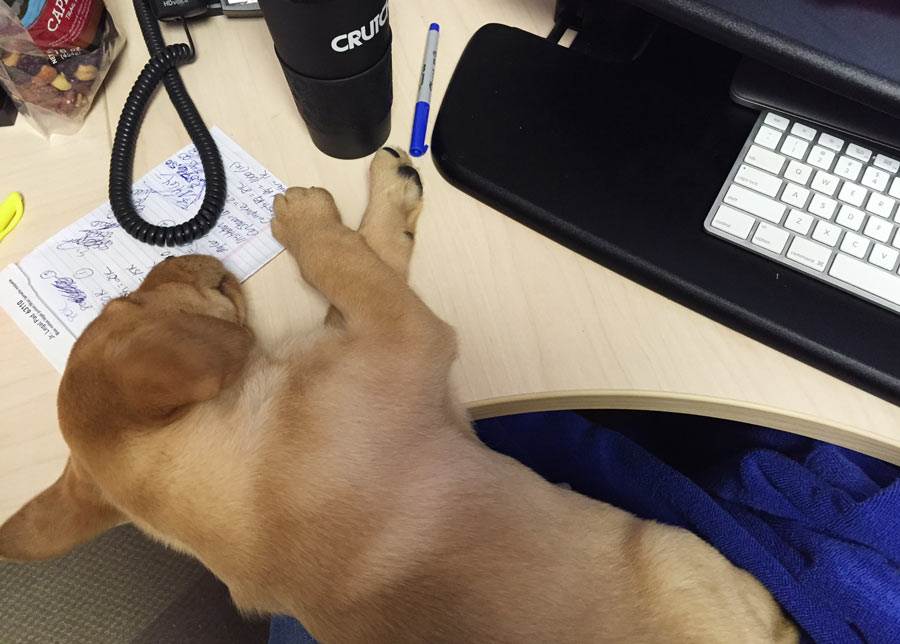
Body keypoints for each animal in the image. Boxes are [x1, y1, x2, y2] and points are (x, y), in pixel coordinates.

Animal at [0, 150, 796, 644]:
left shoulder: (367, 327)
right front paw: (312, 217)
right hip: (678, 550)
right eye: (123, 306)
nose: (170, 257)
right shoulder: (404, 333)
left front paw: (390, 199)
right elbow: (343, 259)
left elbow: (371, 255)